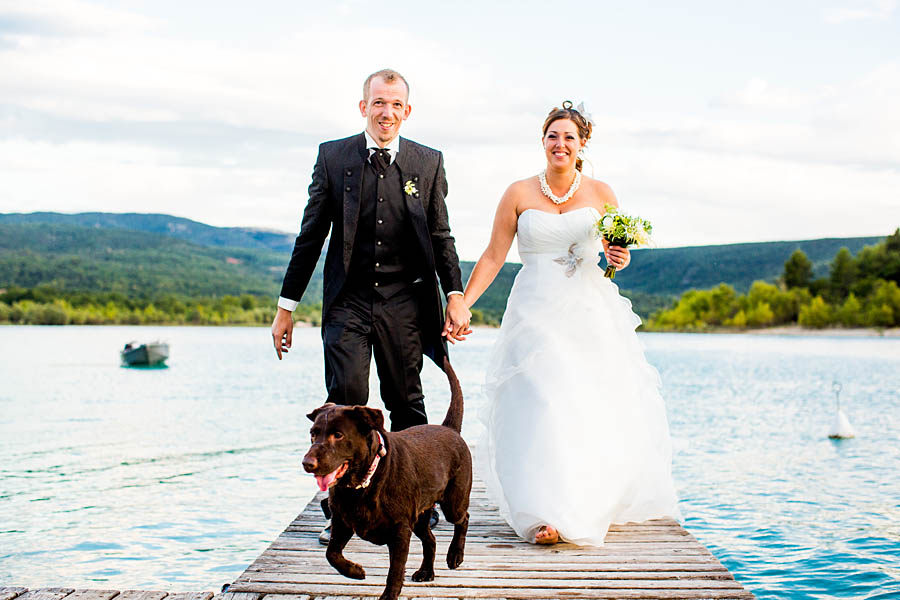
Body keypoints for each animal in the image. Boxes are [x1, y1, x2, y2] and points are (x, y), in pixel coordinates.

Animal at [302, 358, 472, 596]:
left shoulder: (400, 531)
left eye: (338, 435)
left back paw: (455, 555)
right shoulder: (342, 522)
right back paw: (425, 572)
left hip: (453, 502)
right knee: (430, 540)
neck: (362, 485)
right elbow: (332, 554)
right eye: (313, 433)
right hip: (420, 516)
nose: (307, 463)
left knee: (463, 519)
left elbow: (394, 573)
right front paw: (355, 571)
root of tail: (451, 429)